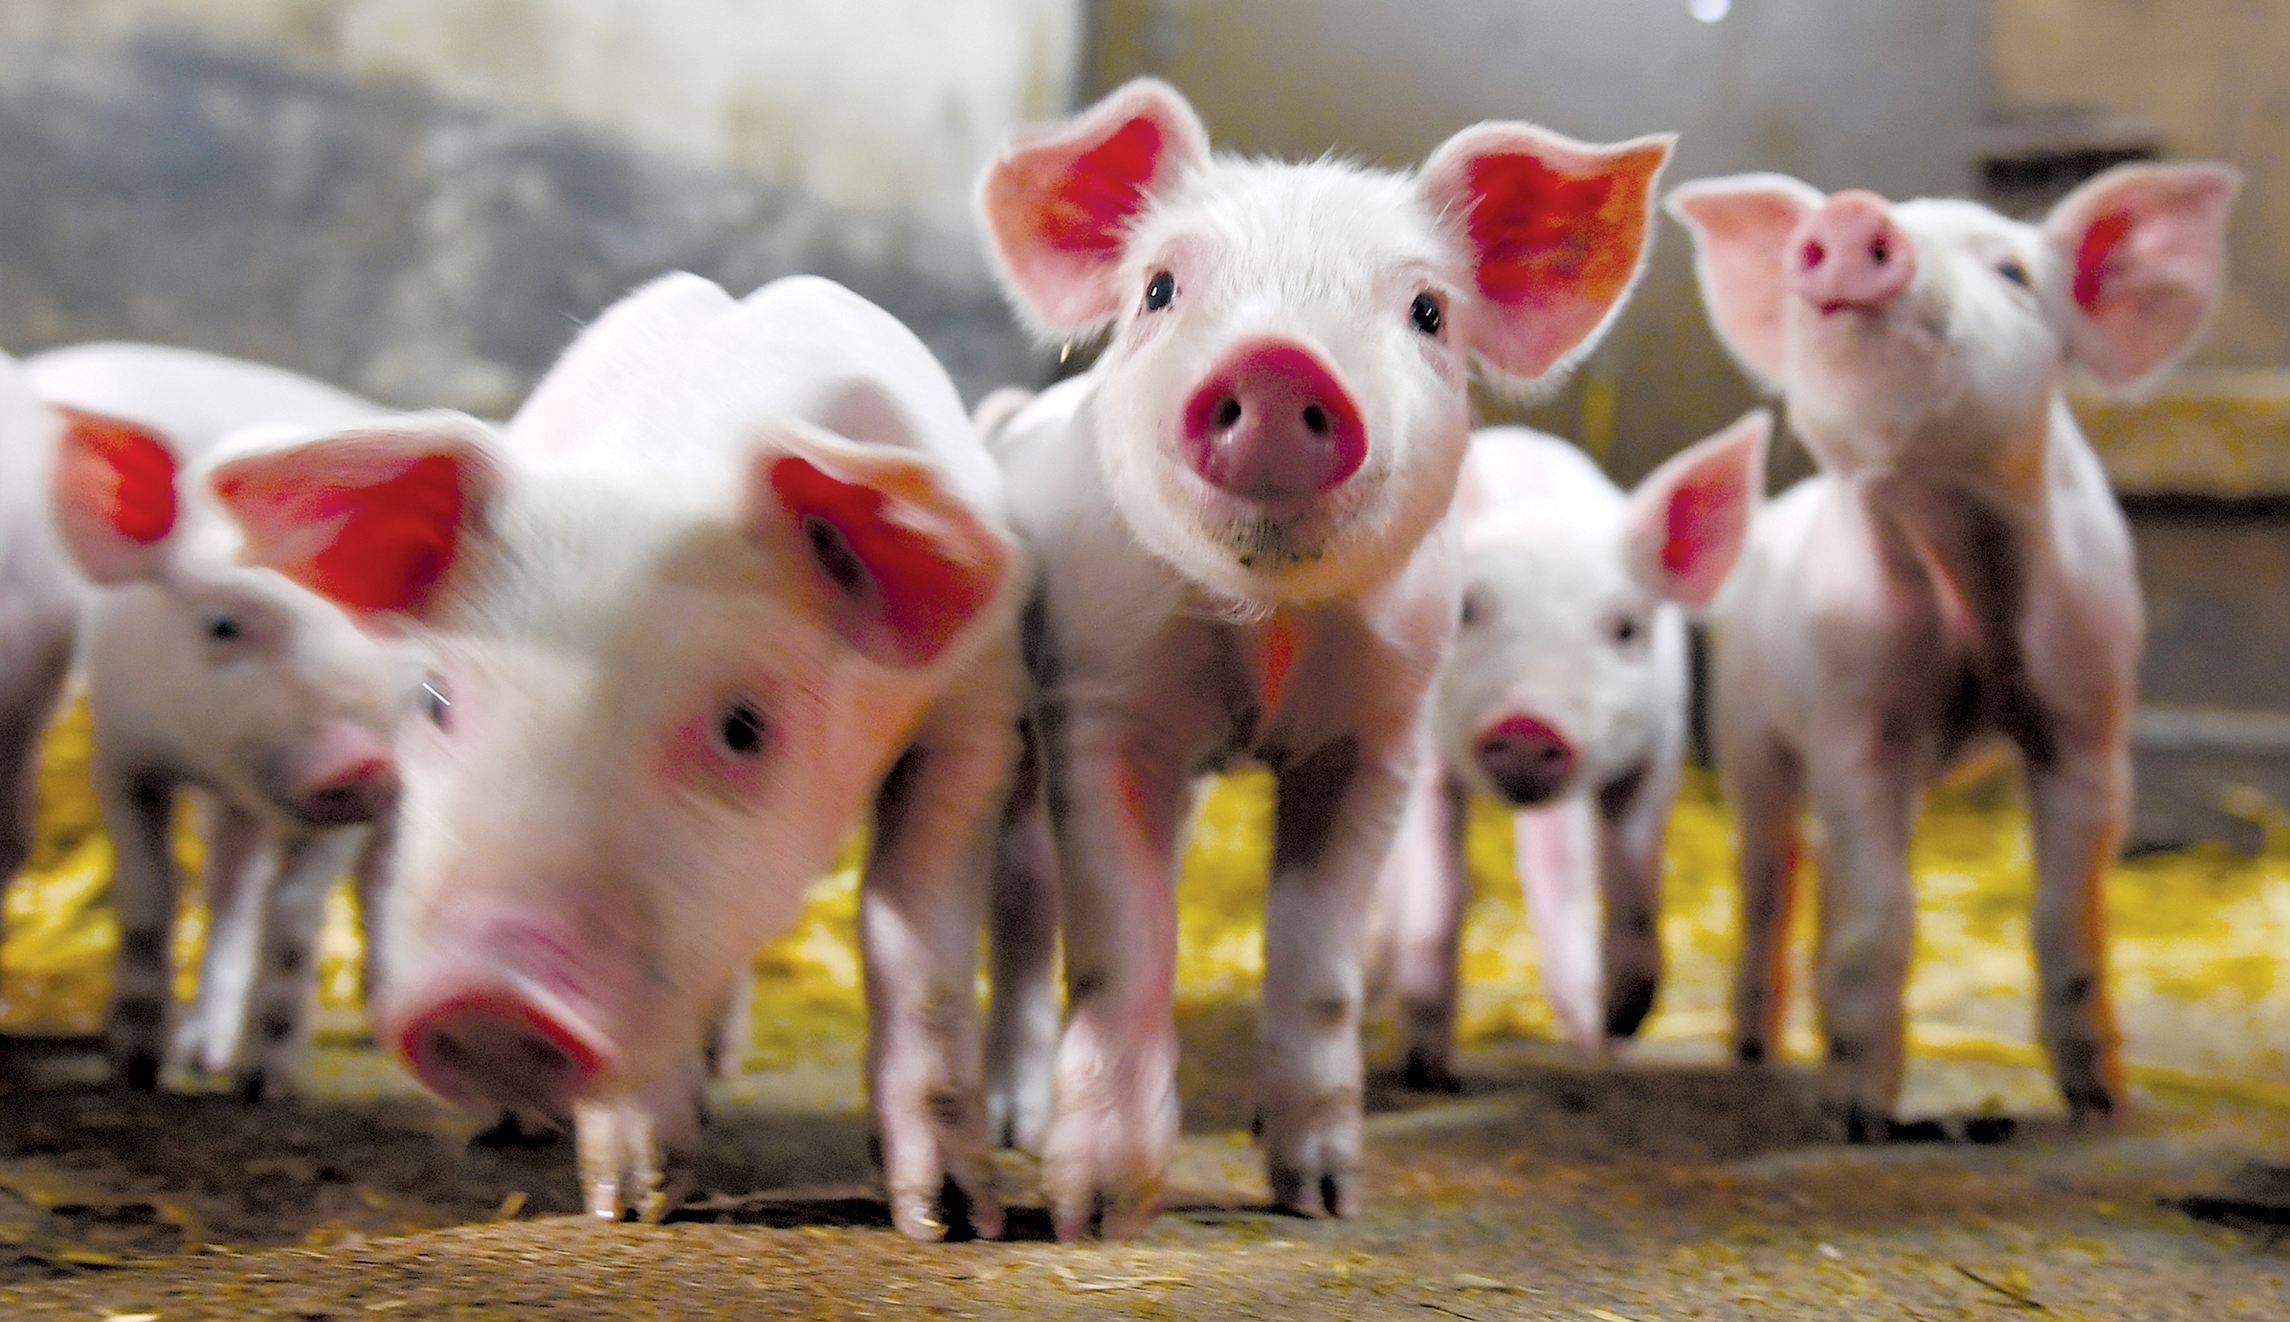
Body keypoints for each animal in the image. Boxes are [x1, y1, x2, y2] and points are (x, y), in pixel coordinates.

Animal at [33, 342, 402, 1098]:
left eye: (381, 623)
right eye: (223, 624)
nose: (361, 760)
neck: (214, 757)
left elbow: (297, 913)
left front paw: (267, 1088)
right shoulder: (122, 753)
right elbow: (150, 891)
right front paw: (135, 1068)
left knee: (380, 882)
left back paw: (383, 1029)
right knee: (231, 886)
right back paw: (203, 1053)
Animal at [204, 273, 1026, 1236]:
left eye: (744, 726)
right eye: (433, 698)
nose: (489, 1002)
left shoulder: (981, 706)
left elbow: (913, 927)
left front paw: (951, 1222)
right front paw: (631, 1208)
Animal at [974, 77, 1670, 1237]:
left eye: (1428, 311)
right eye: (1159, 286)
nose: (1276, 361)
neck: (1265, 633)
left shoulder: (1379, 735)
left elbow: (1319, 963)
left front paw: (1322, 1197)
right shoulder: (1104, 703)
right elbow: (1121, 943)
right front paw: (1096, 1214)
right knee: (1026, 907)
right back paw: (1011, 1131)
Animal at [1372, 411, 1767, 1088]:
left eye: (1627, 628)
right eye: (1467, 608)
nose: (1529, 723)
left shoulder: (1661, 746)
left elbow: (1632, 875)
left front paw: (1623, 1025)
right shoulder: (1426, 754)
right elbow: (1442, 891)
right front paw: (1426, 1071)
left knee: (1556, 867)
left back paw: (1591, 1038)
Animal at [1666, 161, 2240, 1133]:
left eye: (2012, 272)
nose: (1851, 215)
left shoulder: (2088, 714)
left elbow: (2066, 917)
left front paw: (2102, 1108)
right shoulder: (1853, 712)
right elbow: (1882, 918)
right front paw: (1857, 1121)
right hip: (1747, 731)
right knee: (1770, 873)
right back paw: (1752, 1053)